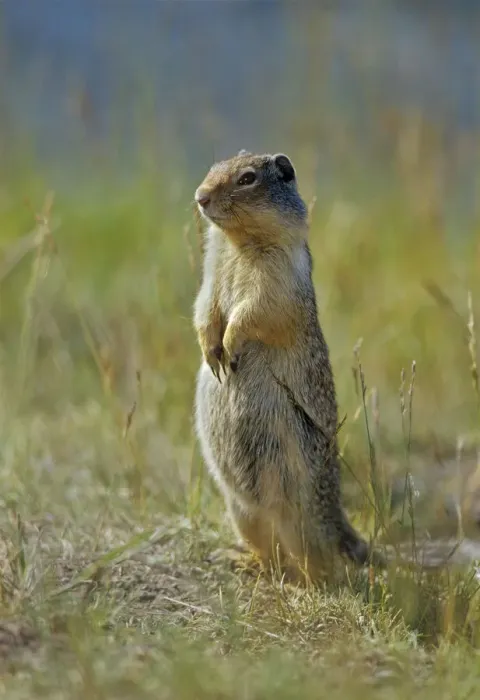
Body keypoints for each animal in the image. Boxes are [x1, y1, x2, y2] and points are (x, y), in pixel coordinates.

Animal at [193, 150, 382, 581]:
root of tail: (336, 516)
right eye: (212, 168)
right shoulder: (210, 270)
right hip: (242, 512)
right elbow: (204, 305)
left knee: (317, 561)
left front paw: (230, 344)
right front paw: (211, 349)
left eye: (248, 178)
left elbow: (257, 311)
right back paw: (243, 560)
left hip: (301, 516)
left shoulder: (278, 278)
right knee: (271, 553)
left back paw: (312, 584)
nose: (200, 197)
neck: (238, 242)